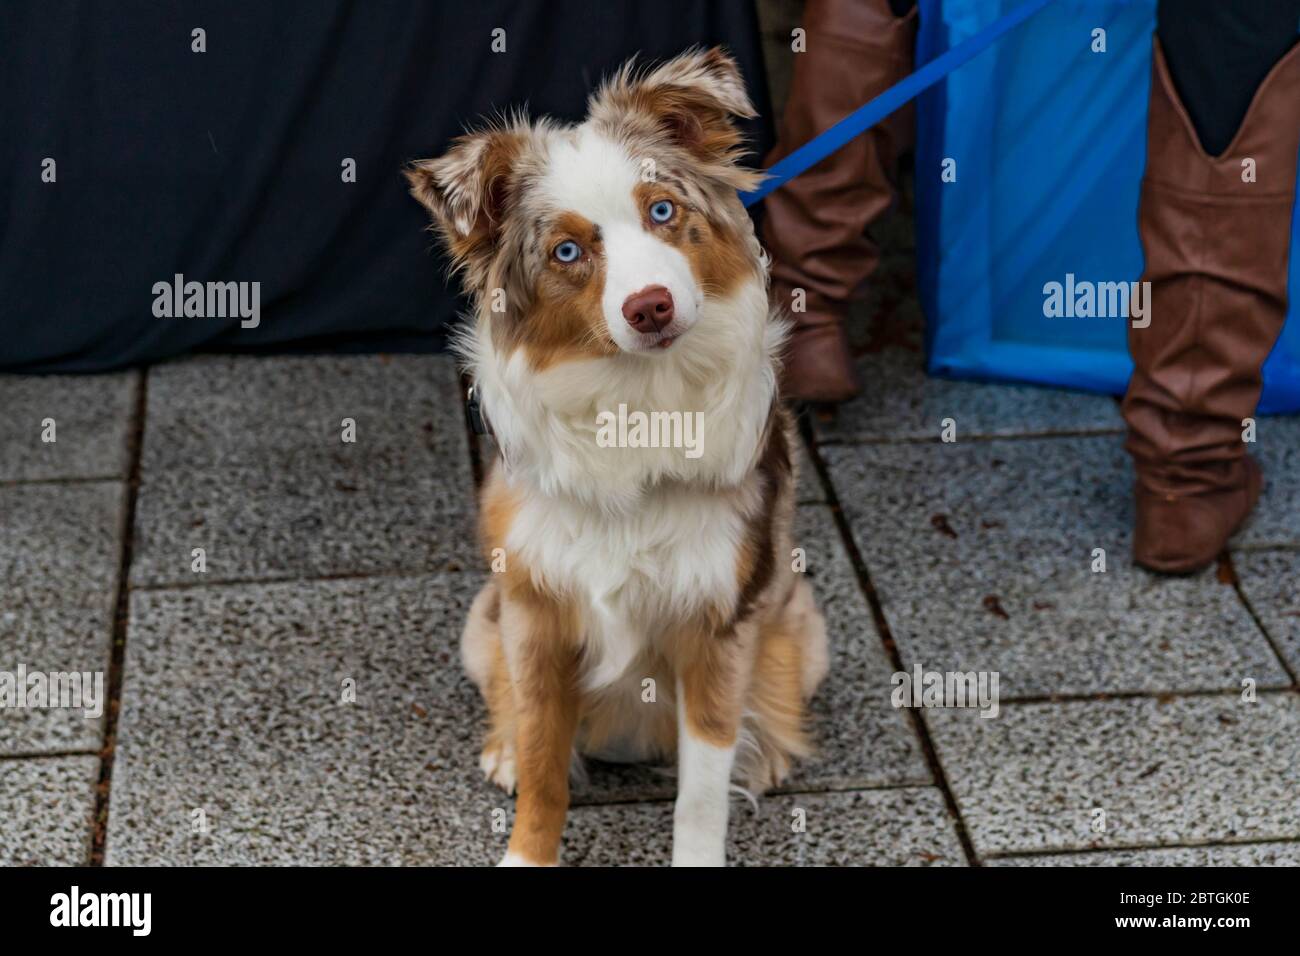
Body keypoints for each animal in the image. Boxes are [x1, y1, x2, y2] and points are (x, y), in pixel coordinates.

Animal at [410, 46, 826, 868]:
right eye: (568, 251)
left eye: (661, 210)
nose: (650, 306)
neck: (639, 402)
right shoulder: (534, 615)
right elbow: (545, 766)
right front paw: (525, 851)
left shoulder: (716, 626)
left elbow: (701, 794)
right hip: (482, 623)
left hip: (803, 624)